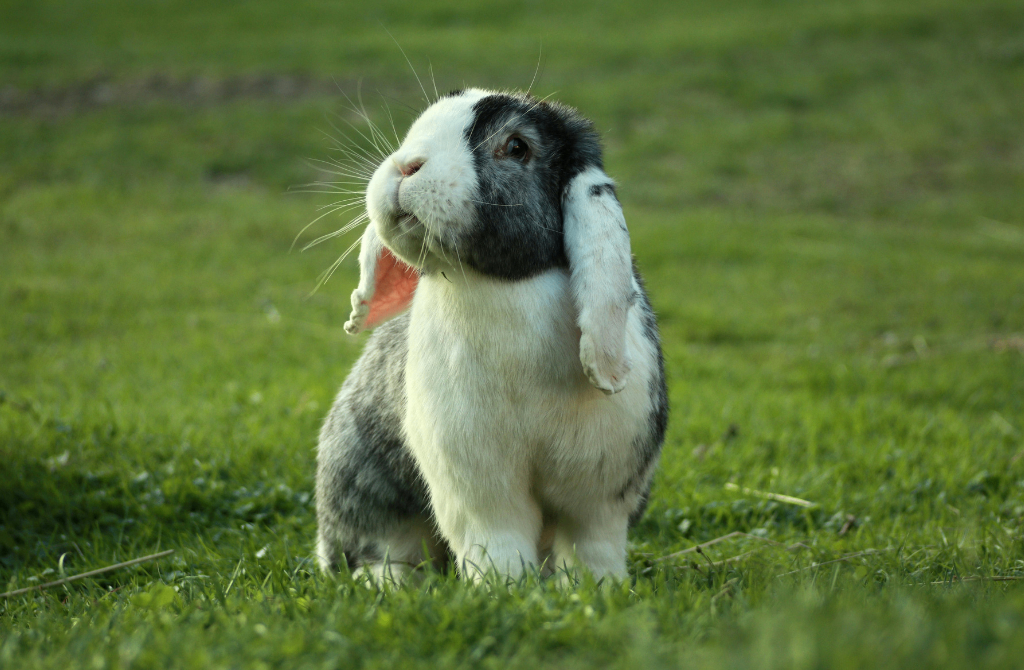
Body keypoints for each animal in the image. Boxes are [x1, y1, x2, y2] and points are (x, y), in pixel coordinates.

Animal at [315, 88, 667, 583]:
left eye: (517, 147)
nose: (406, 166)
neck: (502, 283)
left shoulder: (601, 491)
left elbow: (592, 547)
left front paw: (597, 592)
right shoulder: (476, 482)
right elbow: (497, 541)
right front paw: (503, 589)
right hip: (361, 484)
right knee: (378, 550)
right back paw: (391, 585)